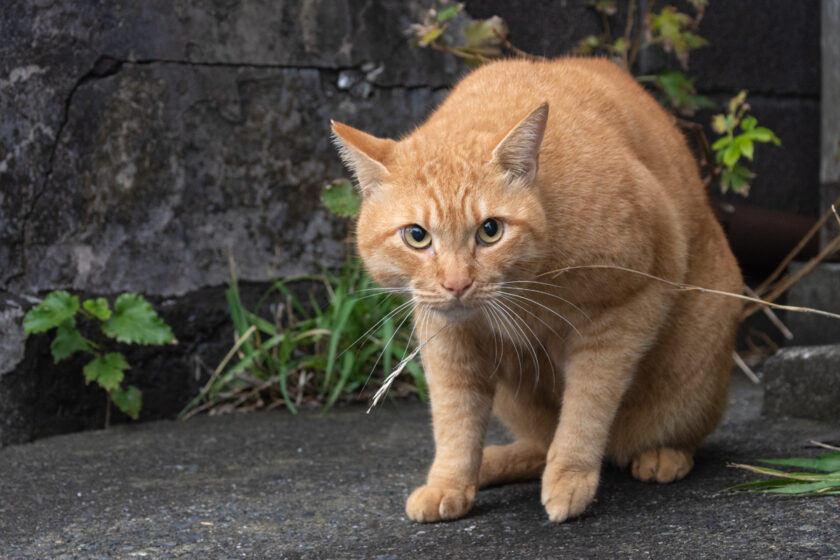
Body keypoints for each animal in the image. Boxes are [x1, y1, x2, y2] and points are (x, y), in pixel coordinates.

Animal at [330, 57, 740, 520]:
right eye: (417, 236)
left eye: (490, 231)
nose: (457, 283)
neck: (524, 289)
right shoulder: (447, 340)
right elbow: (455, 420)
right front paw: (449, 482)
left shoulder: (627, 308)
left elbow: (586, 407)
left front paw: (571, 477)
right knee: (538, 444)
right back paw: (492, 463)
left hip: (691, 378)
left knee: (663, 434)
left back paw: (661, 456)